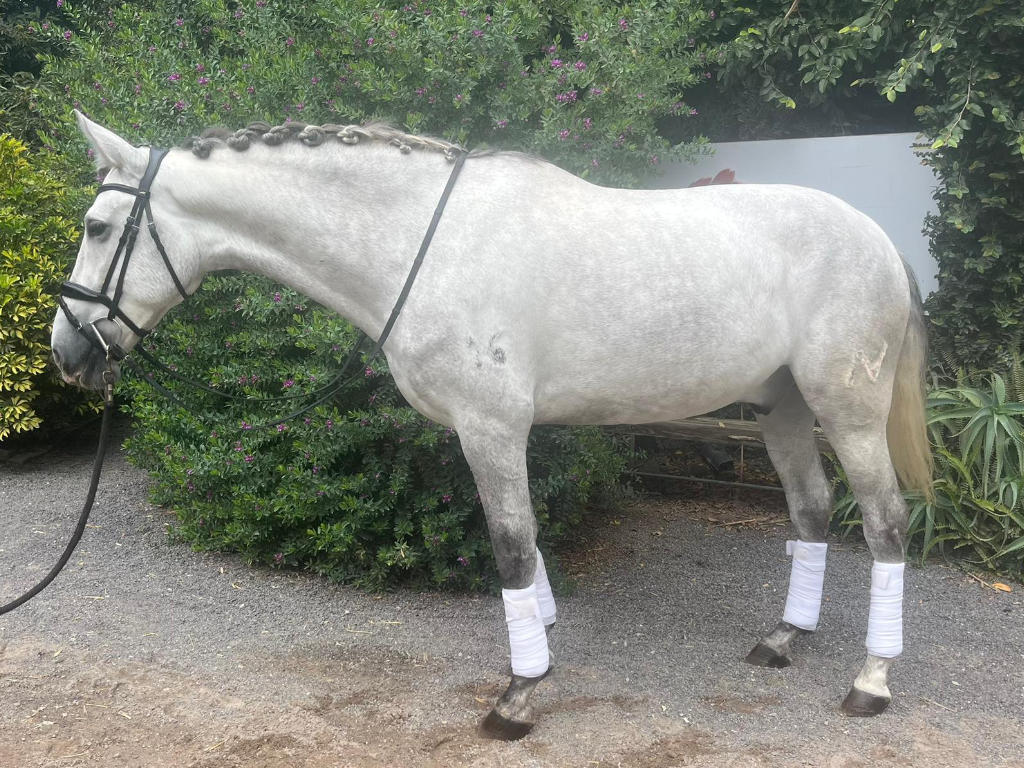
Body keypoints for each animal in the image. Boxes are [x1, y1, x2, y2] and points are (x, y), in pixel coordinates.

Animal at [52, 111, 932, 739]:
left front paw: (518, 695)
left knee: (886, 525)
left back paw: (870, 681)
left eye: (97, 229)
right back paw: (783, 640)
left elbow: (510, 547)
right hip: (781, 407)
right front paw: (539, 640)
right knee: (812, 511)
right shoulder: (493, 433)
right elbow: (526, 548)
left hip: (847, 410)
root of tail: (878, 238)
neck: (423, 245)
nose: (68, 350)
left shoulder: (491, 428)